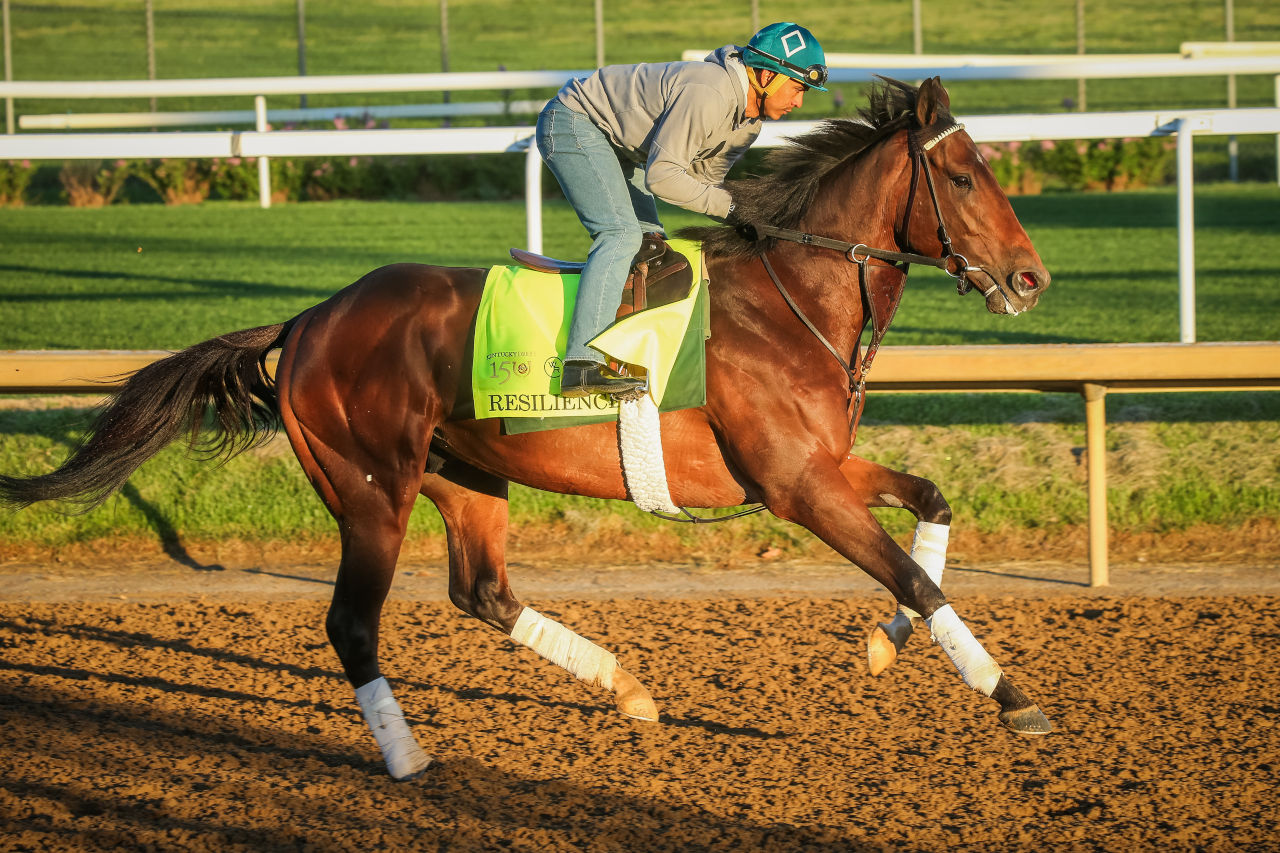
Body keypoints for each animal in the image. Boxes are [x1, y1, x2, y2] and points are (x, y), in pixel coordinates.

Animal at [0, 79, 1049, 778]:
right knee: (353, 622)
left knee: (483, 591)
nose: (1032, 277)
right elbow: (913, 574)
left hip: (465, 473)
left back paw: (626, 685)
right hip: (370, 489)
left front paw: (885, 644)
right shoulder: (795, 483)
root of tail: (309, 319)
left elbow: (930, 510)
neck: (786, 296)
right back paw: (409, 757)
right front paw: (1016, 697)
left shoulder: (820, 466)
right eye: (963, 176)